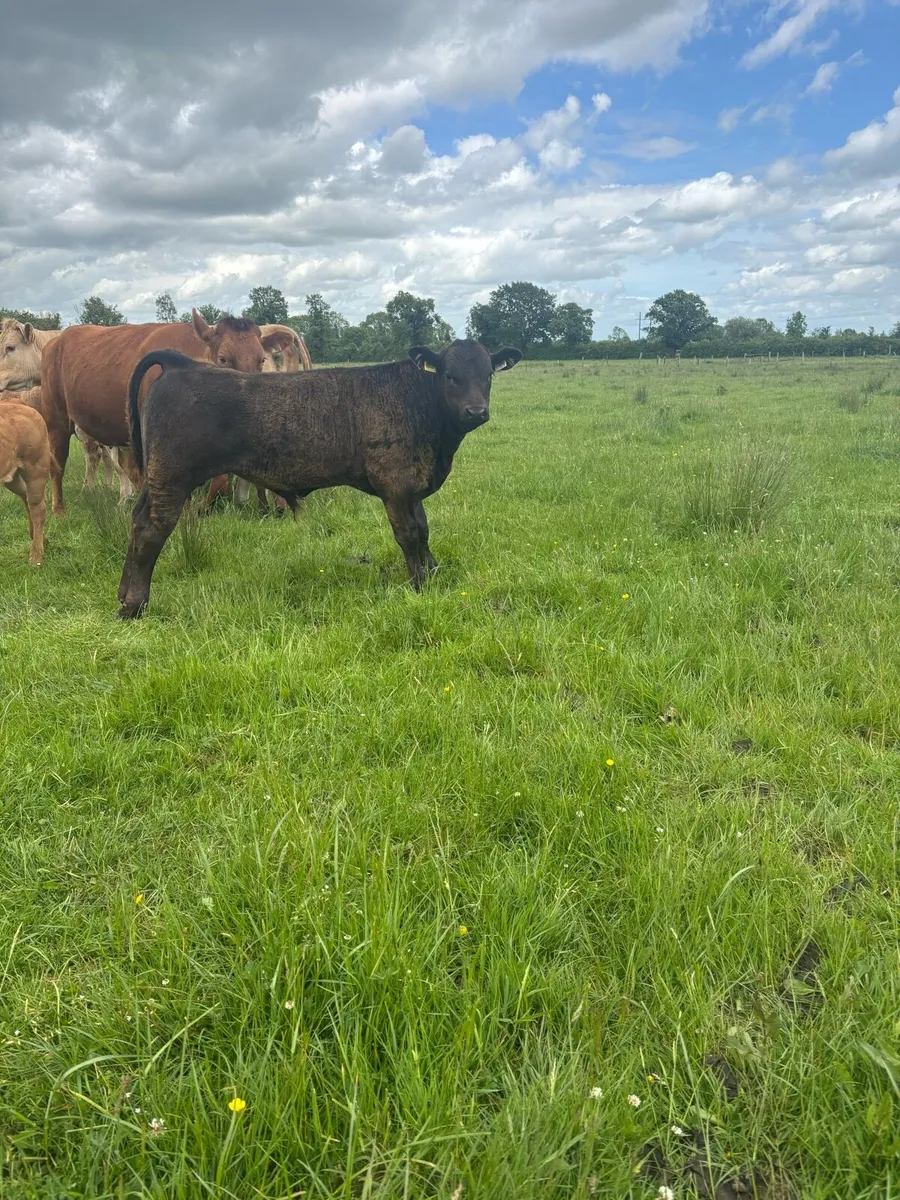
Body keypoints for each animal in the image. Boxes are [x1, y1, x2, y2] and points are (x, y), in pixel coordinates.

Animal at [0, 403, 51, 565]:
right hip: (12, 477)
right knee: (26, 496)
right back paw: (41, 539)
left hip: (36, 468)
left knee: (37, 508)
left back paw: (36, 556)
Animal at [40, 310, 278, 516]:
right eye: (223, 359)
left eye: (261, 360)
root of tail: (57, 339)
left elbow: (218, 480)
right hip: (56, 420)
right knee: (57, 464)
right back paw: (59, 509)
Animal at [117, 339, 521, 618]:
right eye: (450, 376)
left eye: (487, 375)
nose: (476, 411)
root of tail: (181, 364)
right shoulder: (394, 483)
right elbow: (408, 534)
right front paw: (419, 584)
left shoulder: (413, 485)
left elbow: (424, 530)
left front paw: (433, 573)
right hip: (172, 479)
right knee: (151, 530)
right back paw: (135, 605)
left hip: (156, 480)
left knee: (136, 522)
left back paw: (123, 594)